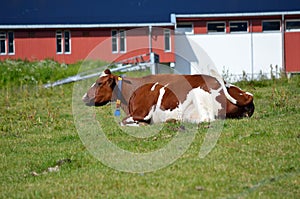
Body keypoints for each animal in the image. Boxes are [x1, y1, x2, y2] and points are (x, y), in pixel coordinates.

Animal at [81, 68, 253, 124]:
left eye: (99, 83)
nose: (84, 97)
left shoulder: (141, 112)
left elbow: (123, 122)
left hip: (199, 95)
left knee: (206, 119)